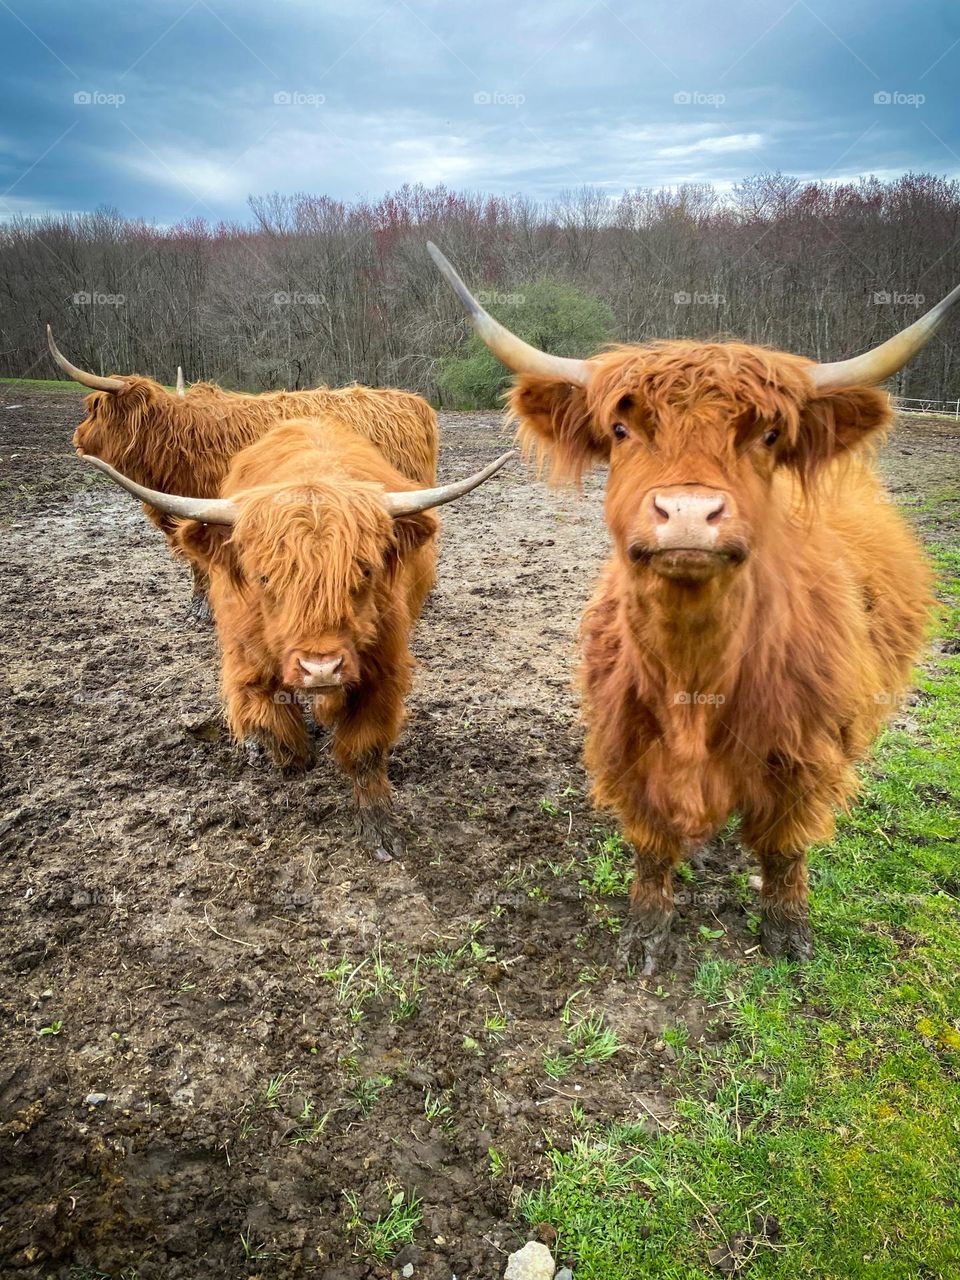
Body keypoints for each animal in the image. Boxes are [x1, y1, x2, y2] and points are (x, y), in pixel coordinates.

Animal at [48, 327, 439, 622]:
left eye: (94, 409)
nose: (76, 437)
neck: (180, 440)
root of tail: (411, 400)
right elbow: (198, 565)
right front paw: (198, 607)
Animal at [80, 416, 513, 859]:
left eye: (365, 572)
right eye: (264, 577)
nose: (320, 668)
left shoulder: (382, 672)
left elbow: (366, 749)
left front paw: (379, 827)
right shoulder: (248, 660)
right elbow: (271, 718)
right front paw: (291, 757)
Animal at [429, 241, 956, 971]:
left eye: (768, 435)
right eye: (621, 428)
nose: (686, 512)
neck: (693, 681)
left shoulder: (806, 754)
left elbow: (787, 845)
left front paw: (788, 932)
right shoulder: (627, 749)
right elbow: (652, 846)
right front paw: (646, 933)